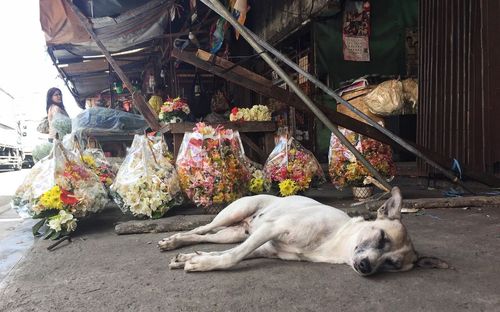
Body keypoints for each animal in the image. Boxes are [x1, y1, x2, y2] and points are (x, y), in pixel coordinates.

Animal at [158, 186, 448, 274]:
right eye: (381, 237)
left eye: (392, 264)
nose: (366, 267)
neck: (335, 243)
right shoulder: (272, 229)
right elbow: (232, 257)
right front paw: (201, 264)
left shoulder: (264, 246)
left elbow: (224, 253)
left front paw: (194, 259)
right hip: (233, 213)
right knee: (201, 228)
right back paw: (173, 240)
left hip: (234, 233)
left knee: (206, 237)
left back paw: (180, 248)